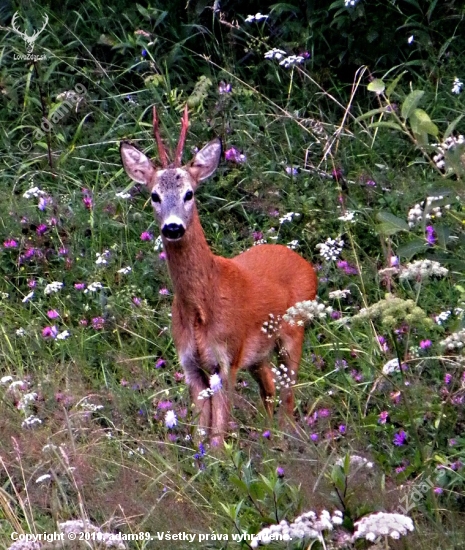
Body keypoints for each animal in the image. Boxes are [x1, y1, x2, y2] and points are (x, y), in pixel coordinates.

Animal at [119, 108, 316, 448]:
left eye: (189, 193)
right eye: (154, 195)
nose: (173, 227)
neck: (201, 309)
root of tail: (305, 263)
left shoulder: (227, 359)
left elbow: (217, 435)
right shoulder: (190, 364)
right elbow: (201, 431)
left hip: (293, 332)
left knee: (289, 397)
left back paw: (285, 440)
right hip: (257, 353)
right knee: (269, 387)